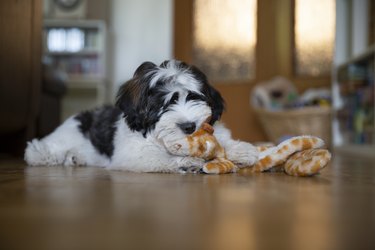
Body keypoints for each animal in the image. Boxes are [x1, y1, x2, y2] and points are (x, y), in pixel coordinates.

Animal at [23, 59, 258, 173]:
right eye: (165, 104)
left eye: (193, 96)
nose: (189, 126)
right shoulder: (134, 154)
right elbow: (160, 158)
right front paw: (187, 162)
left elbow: (222, 140)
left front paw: (243, 150)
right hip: (59, 141)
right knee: (38, 150)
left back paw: (76, 158)